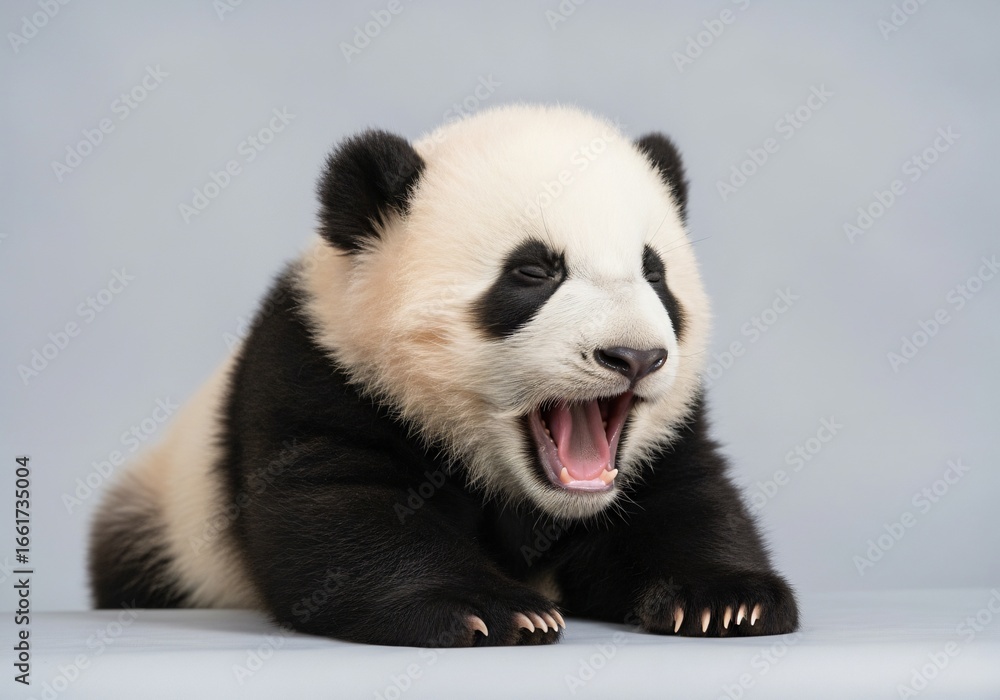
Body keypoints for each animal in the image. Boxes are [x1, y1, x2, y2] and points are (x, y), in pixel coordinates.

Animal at [88, 104, 799, 647]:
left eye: (655, 274)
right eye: (533, 272)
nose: (633, 357)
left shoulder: (666, 437)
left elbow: (686, 499)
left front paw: (727, 599)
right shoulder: (320, 371)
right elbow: (342, 511)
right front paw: (490, 609)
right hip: (162, 526)